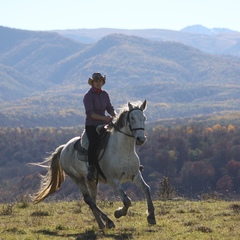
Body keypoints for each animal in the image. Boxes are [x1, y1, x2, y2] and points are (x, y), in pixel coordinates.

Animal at [32, 99, 157, 229]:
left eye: (144, 117)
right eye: (132, 118)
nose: (141, 139)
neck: (123, 150)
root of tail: (64, 148)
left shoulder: (135, 175)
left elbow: (146, 189)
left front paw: (151, 216)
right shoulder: (113, 181)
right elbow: (127, 200)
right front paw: (118, 213)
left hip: (91, 181)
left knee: (93, 201)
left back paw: (101, 223)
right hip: (78, 179)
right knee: (89, 200)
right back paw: (108, 221)